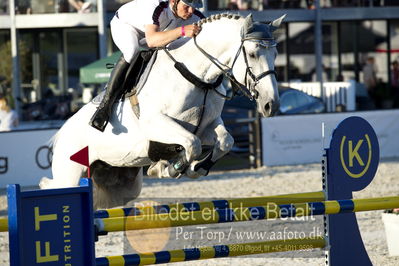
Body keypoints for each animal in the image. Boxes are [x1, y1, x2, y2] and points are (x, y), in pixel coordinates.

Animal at [39, 13, 284, 209]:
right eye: (252, 54)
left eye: (276, 55)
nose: (271, 105)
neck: (197, 77)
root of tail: (59, 135)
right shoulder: (157, 125)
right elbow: (192, 144)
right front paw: (170, 168)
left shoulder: (207, 126)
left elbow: (224, 142)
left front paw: (193, 168)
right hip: (70, 174)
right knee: (55, 186)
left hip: (122, 185)